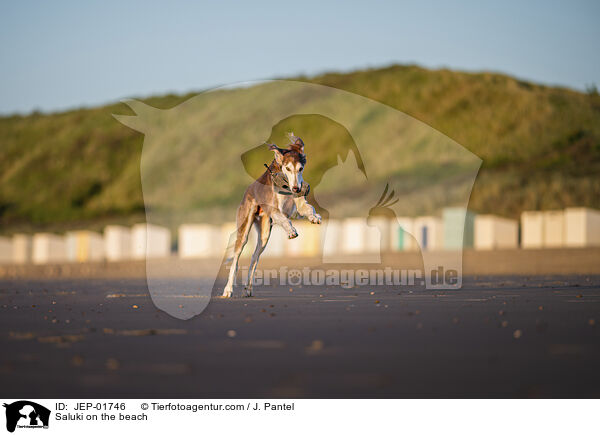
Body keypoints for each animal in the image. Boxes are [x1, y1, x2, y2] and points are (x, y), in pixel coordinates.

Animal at [223, 131, 322, 298]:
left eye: (300, 168)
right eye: (287, 168)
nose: (296, 188)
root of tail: (247, 191)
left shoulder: (297, 205)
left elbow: (307, 208)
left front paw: (314, 217)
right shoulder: (274, 210)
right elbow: (285, 220)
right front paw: (291, 231)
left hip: (264, 234)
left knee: (254, 257)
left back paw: (248, 288)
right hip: (244, 229)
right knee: (236, 259)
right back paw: (228, 289)